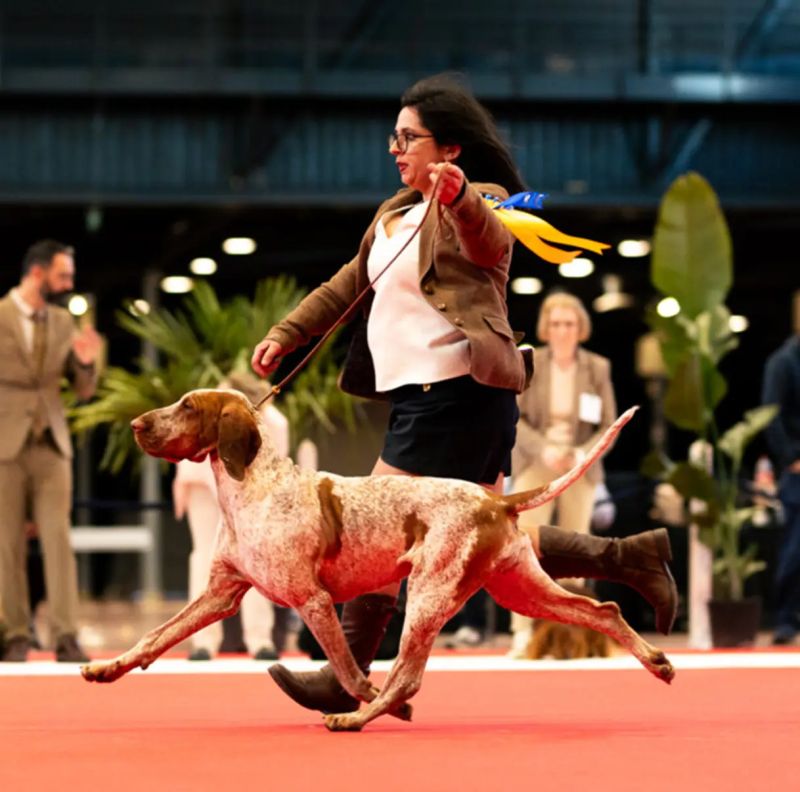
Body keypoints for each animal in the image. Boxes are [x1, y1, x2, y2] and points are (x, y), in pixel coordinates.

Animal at [81, 389, 674, 731]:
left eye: (186, 406)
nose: (136, 425)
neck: (253, 485)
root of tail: (496, 501)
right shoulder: (219, 595)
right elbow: (152, 638)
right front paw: (107, 666)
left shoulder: (313, 601)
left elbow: (347, 666)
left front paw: (367, 700)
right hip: (521, 591)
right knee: (604, 611)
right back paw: (656, 659)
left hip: (431, 597)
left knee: (408, 677)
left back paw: (360, 717)